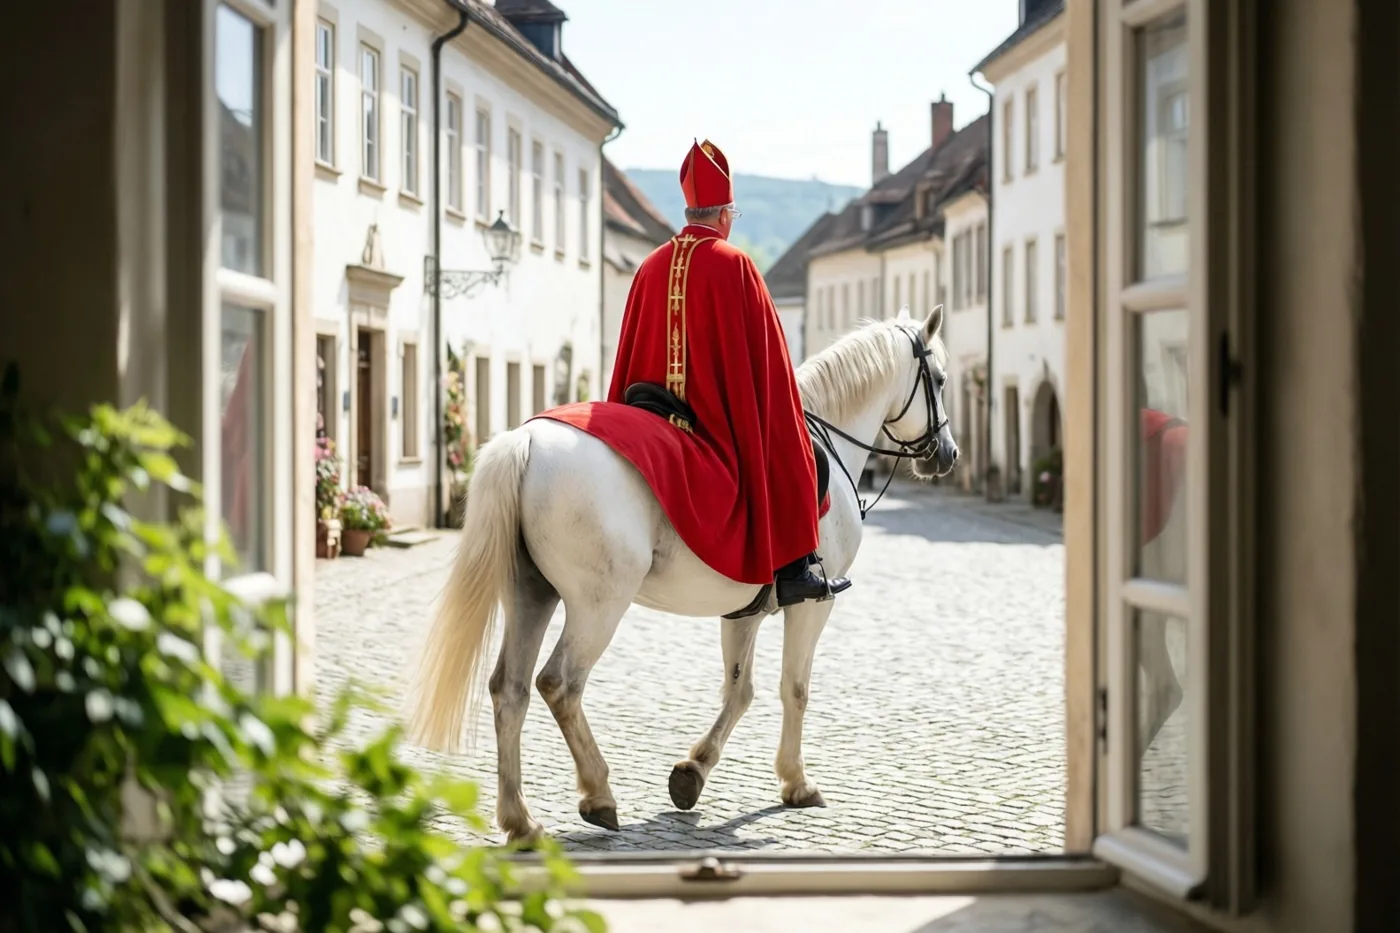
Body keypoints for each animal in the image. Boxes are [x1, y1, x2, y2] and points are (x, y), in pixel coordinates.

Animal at [408, 306, 958, 843]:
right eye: (939, 379)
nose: (948, 454)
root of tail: (525, 440)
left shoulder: (744, 610)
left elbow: (740, 691)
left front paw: (693, 772)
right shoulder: (814, 602)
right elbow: (794, 688)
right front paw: (796, 782)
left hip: (531, 593)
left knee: (511, 689)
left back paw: (520, 819)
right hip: (598, 604)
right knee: (559, 684)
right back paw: (598, 795)